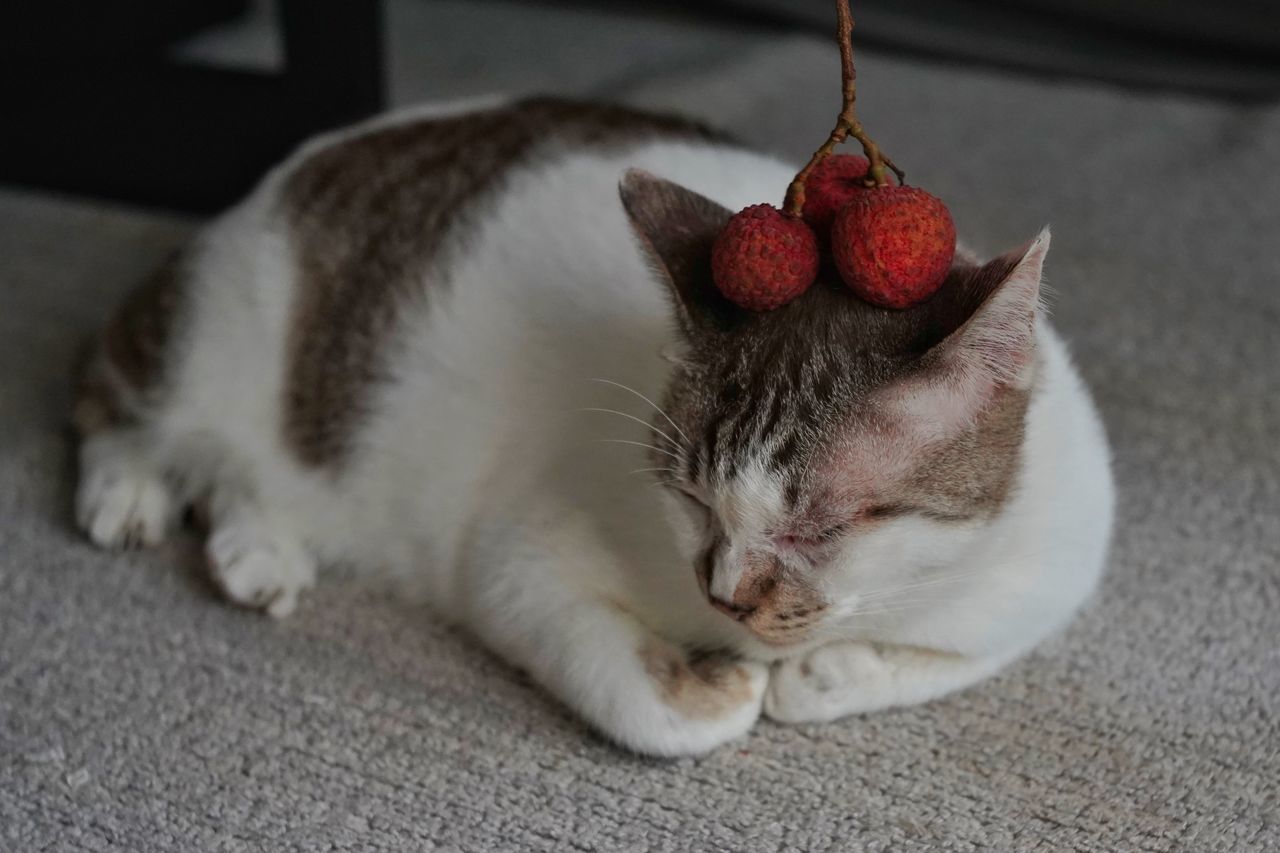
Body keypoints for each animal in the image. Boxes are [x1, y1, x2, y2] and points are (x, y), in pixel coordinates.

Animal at [70, 96, 1116, 753]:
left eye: (819, 525)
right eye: (691, 500)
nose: (724, 595)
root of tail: (290, 169)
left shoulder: (1042, 578)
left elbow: (941, 658)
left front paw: (828, 675)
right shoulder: (516, 552)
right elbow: (647, 704)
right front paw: (721, 688)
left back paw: (259, 547)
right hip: (210, 340)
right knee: (116, 397)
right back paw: (128, 493)